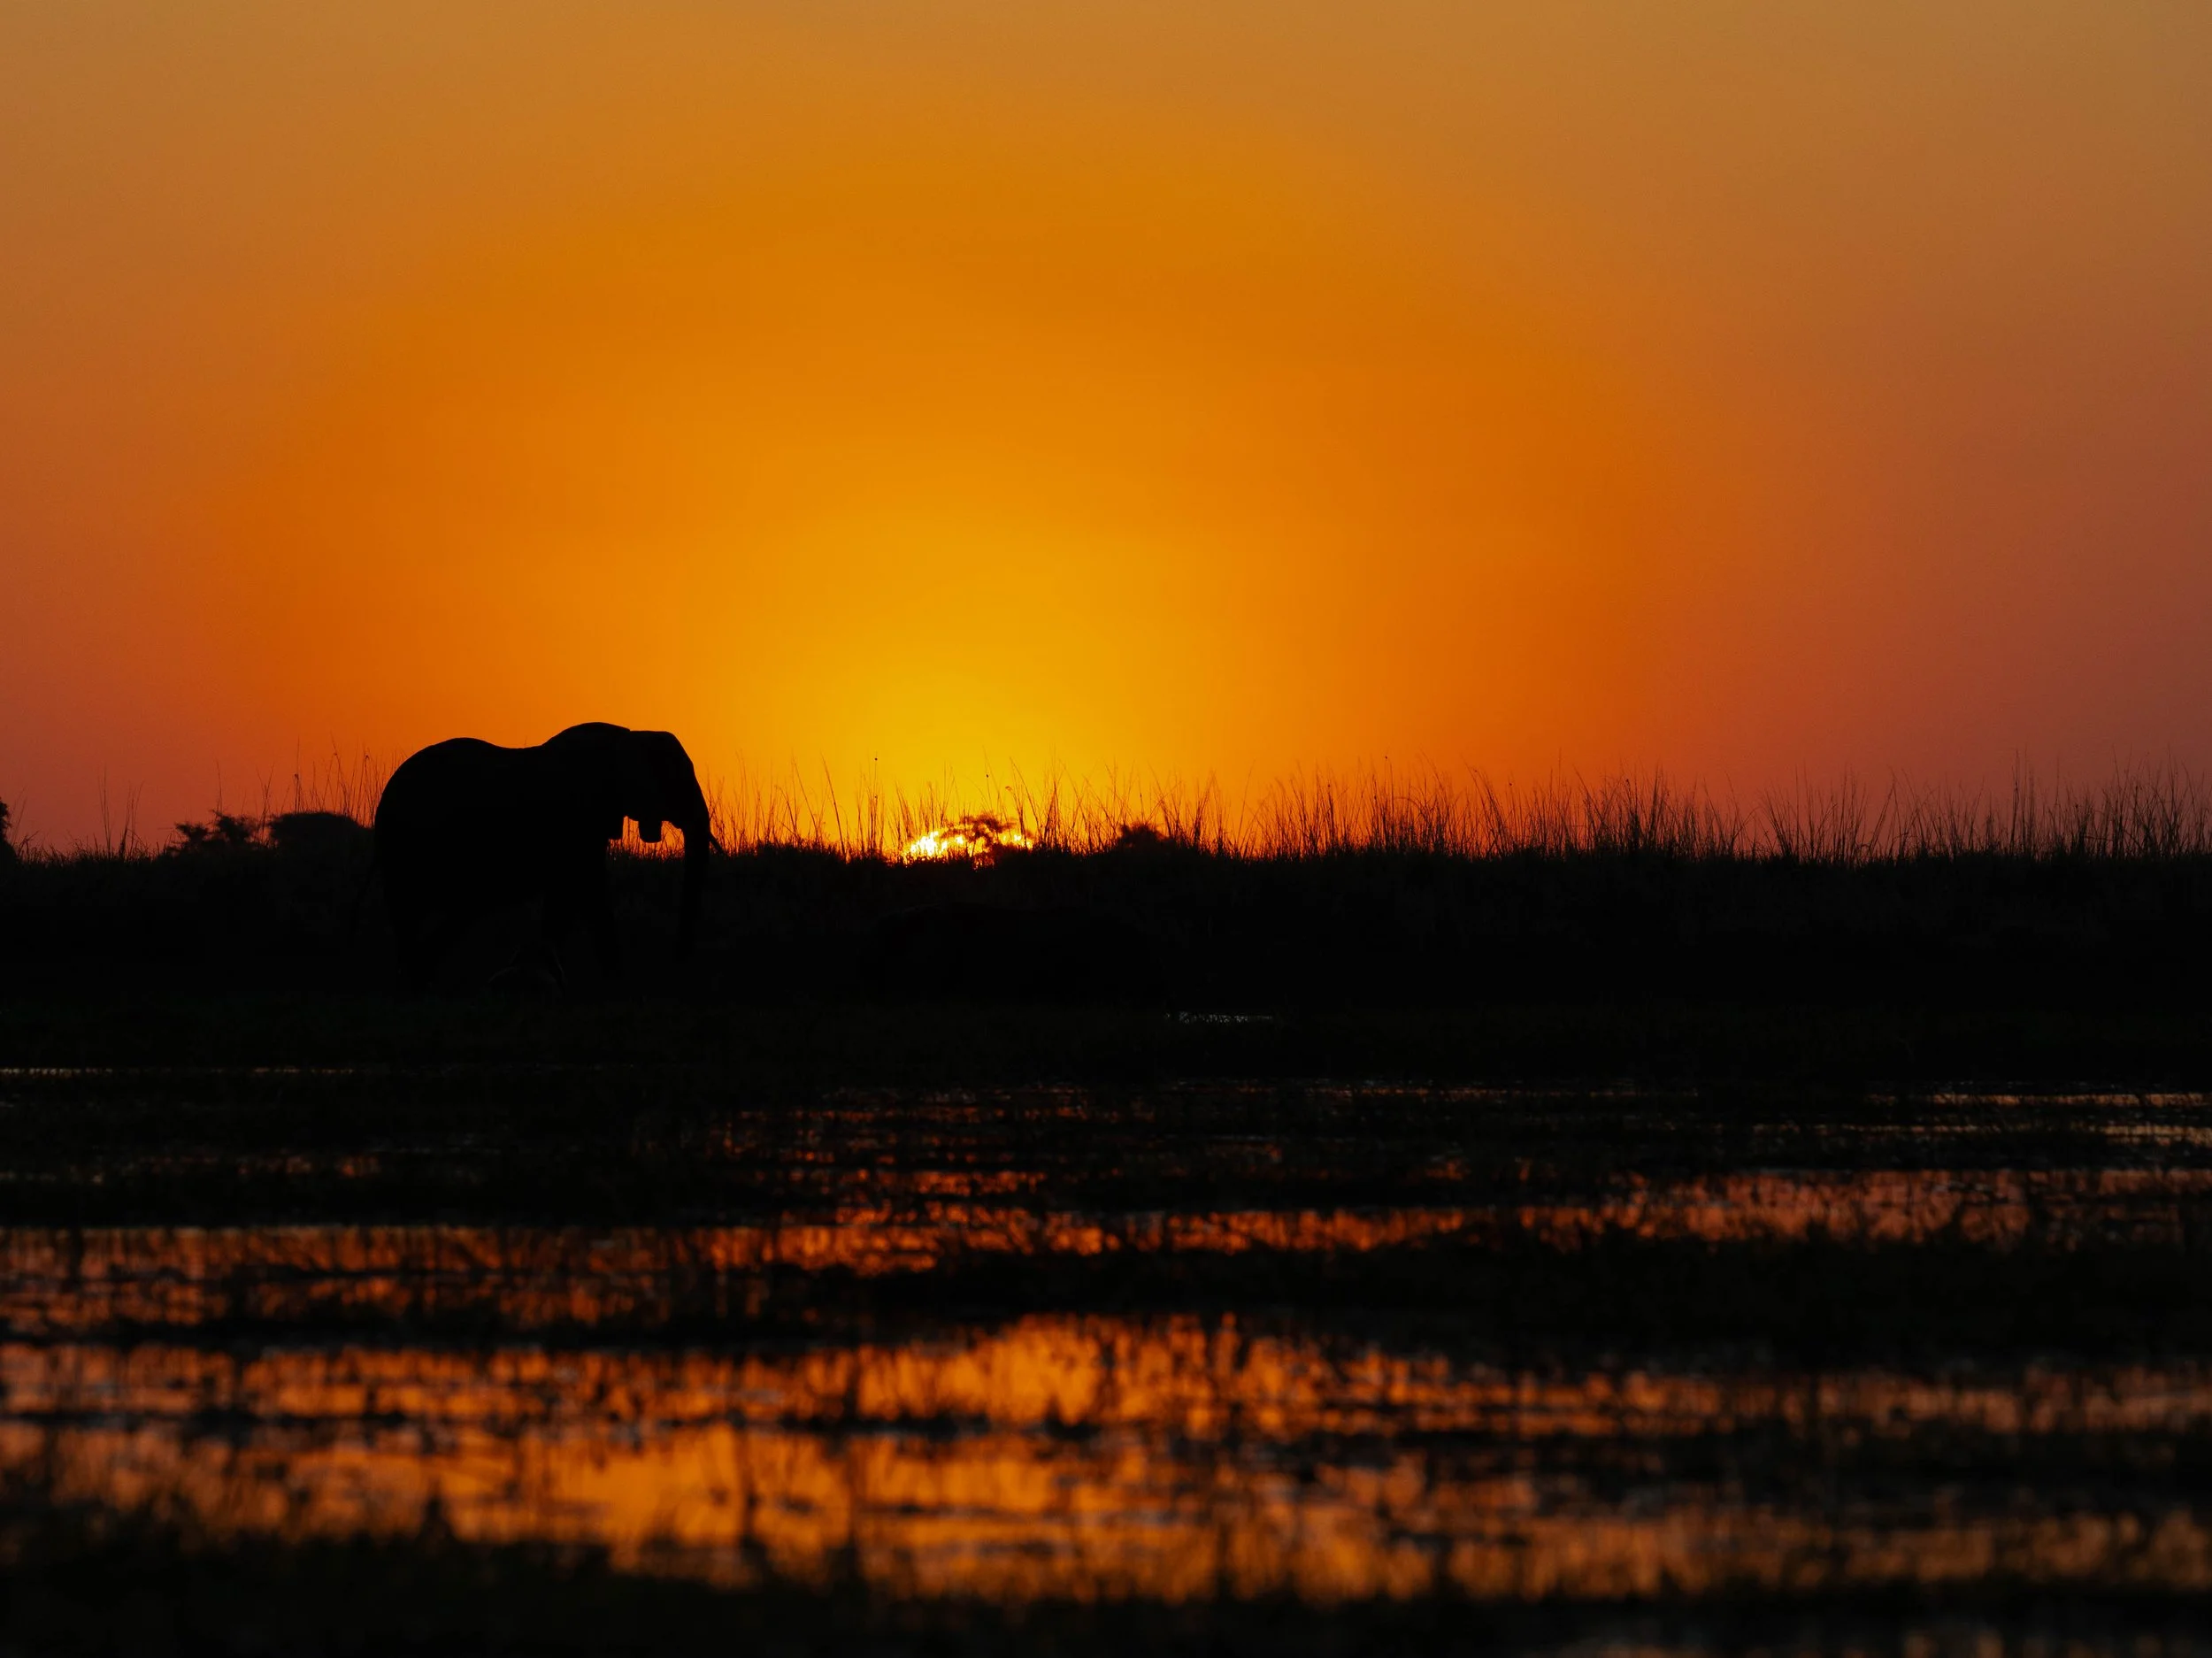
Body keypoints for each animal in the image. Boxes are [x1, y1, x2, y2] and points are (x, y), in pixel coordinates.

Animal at [372, 723, 714, 991]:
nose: (677, 965)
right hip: (406, 841)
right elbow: (589, 891)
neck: (628, 734)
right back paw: (417, 979)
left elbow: (565, 899)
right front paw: (617, 983)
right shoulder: (577, 816)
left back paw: (418, 978)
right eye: (676, 782)